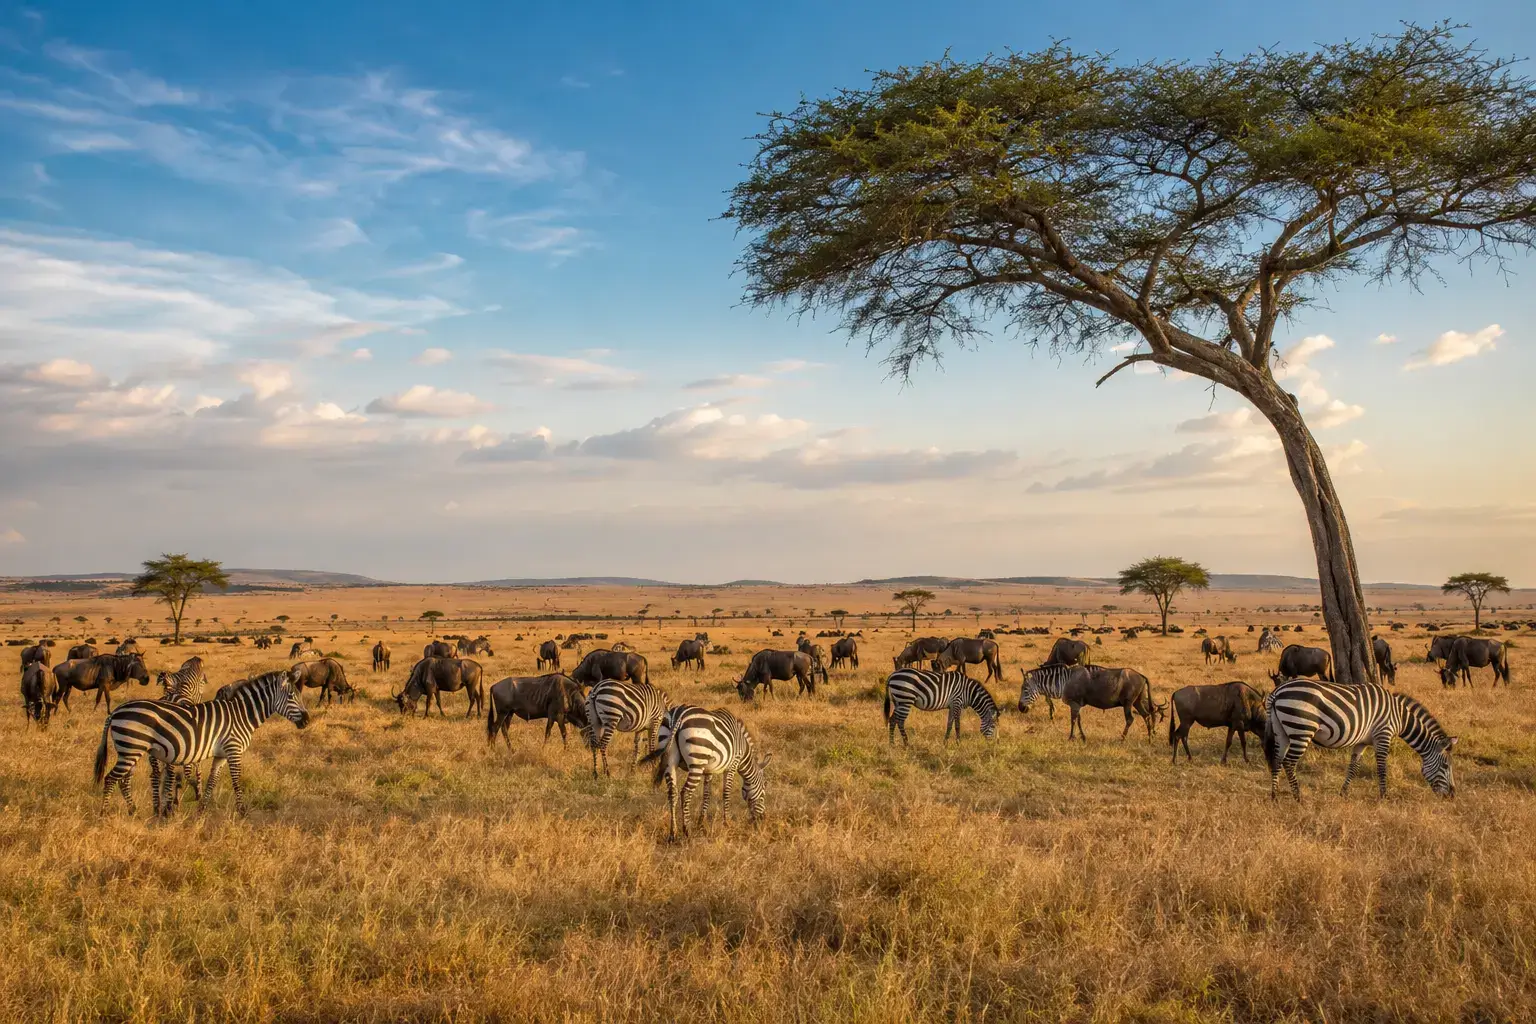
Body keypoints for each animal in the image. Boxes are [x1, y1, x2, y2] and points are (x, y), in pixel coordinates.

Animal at [93, 670, 310, 818]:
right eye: (291, 696)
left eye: (299, 696)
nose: (307, 721)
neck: (241, 715)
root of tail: (117, 710)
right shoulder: (233, 749)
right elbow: (236, 780)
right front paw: (242, 811)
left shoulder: (221, 754)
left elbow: (212, 781)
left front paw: (202, 809)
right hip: (131, 748)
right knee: (111, 779)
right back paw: (103, 814)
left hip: (131, 750)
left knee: (124, 781)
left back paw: (133, 810)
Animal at [641, 704, 769, 840]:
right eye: (763, 792)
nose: (763, 818)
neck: (744, 754)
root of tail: (678, 714)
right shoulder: (732, 765)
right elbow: (726, 793)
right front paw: (727, 823)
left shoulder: (709, 770)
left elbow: (707, 794)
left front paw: (701, 824)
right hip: (697, 761)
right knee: (685, 792)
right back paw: (687, 830)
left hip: (670, 760)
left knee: (672, 793)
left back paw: (673, 833)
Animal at [1264, 678, 1458, 801]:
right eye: (1445, 766)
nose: (1452, 796)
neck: (1399, 716)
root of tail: (1277, 692)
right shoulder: (1383, 734)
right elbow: (1382, 768)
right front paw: (1384, 796)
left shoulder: (1362, 742)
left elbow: (1353, 767)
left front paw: (1343, 793)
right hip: (1302, 728)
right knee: (1289, 762)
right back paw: (1298, 798)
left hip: (1281, 731)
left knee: (1277, 760)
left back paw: (1274, 796)